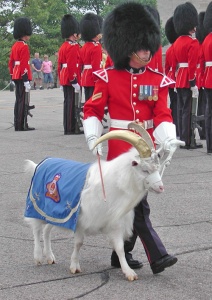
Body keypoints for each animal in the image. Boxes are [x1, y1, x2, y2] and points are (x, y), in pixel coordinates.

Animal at [24, 129, 165, 282]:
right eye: (145, 170)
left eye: (157, 168)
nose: (161, 188)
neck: (112, 183)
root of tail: (42, 163)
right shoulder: (79, 220)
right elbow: (78, 243)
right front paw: (74, 266)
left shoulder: (115, 222)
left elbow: (120, 248)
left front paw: (129, 272)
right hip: (37, 207)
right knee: (37, 230)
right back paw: (38, 257)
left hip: (55, 214)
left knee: (46, 231)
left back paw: (50, 257)